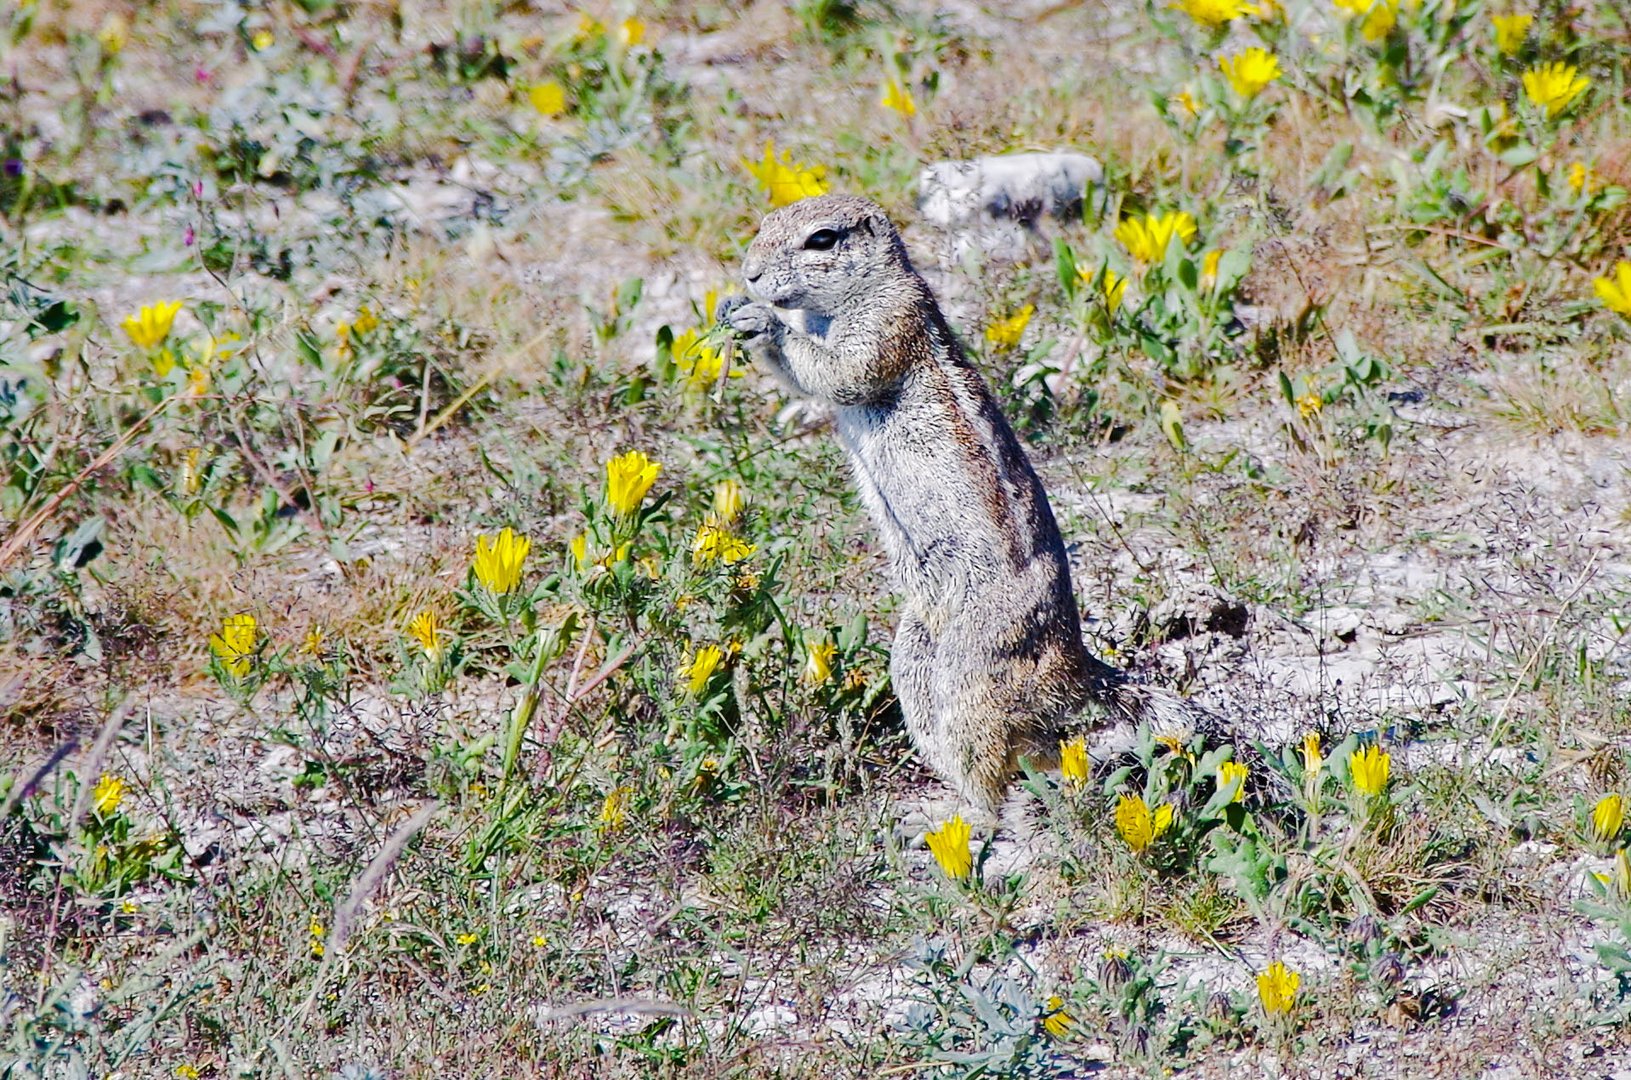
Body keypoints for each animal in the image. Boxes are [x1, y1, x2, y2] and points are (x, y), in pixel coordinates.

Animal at [720, 196, 1219, 822]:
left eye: (821, 239)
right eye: (762, 226)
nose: (749, 275)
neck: (841, 302)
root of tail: (1076, 661)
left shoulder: (890, 323)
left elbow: (840, 373)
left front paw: (763, 322)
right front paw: (732, 308)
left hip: (977, 662)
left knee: (996, 760)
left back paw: (975, 819)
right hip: (917, 647)